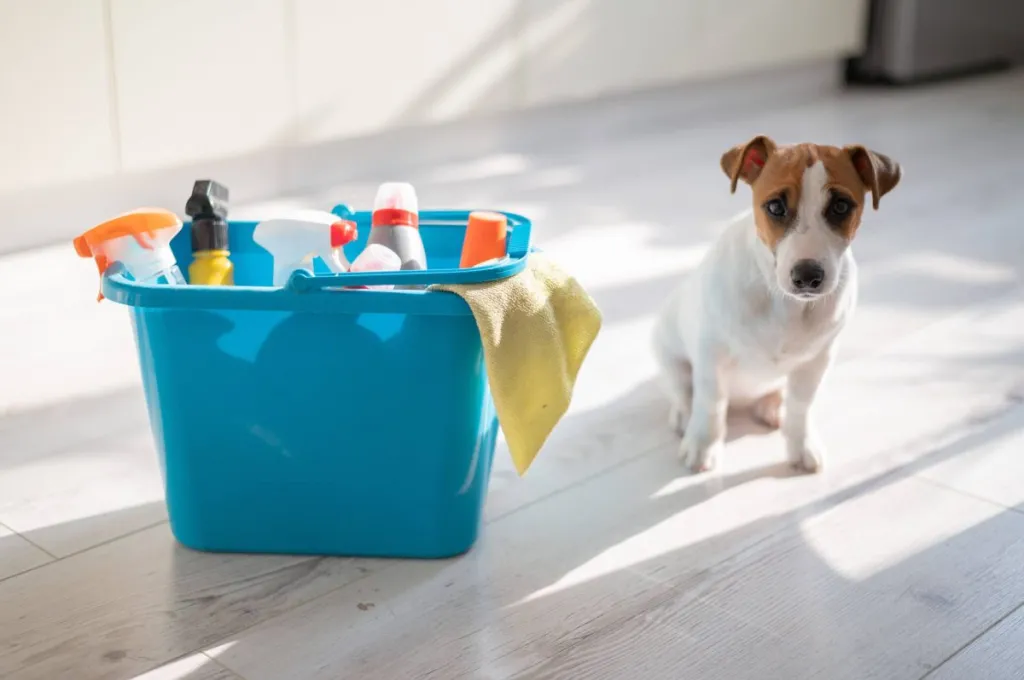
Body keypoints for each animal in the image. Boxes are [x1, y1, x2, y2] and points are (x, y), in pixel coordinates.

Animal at [651, 134, 901, 473]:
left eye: (840, 206)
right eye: (775, 206)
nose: (807, 276)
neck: (784, 303)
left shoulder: (816, 361)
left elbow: (801, 405)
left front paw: (801, 444)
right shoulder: (710, 355)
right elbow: (710, 402)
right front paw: (702, 445)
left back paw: (772, 407)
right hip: (669, 352)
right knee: (683, 390)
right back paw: (683, 416)